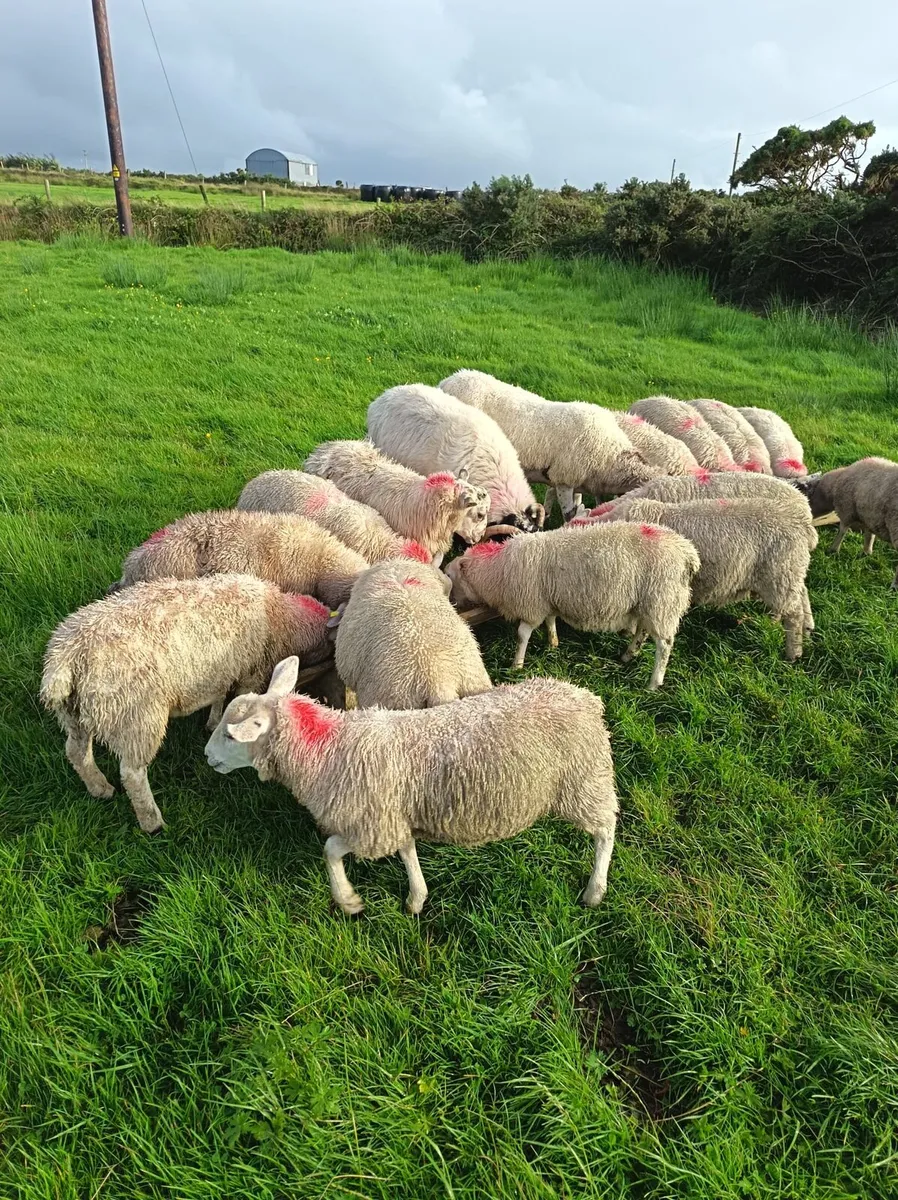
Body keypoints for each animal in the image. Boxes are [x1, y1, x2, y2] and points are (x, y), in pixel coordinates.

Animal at [40, 574, 333, 833]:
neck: (278, 613)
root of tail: (66, 657)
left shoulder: (221, 669)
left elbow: (219, 696)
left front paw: (213, 721)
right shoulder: (250, 671)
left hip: (76, 713)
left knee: (77, 752)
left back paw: (100, 789)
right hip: (135, 716)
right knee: (132, 774)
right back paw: (153, 823)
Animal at [205, 658, 618, 914]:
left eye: (230, 734)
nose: (207, 756)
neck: (327, 749)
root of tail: (586, 697)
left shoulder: (368, 825)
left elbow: (330, 850)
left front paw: (348, 900)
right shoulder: (392, 817)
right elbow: (407, 851)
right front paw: (416, 898)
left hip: (583, 781)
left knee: (607, 829)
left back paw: (595, 891)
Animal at [444, 522, 700, 688]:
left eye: (450, 575)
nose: (452, 603)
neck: (498, 569)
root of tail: (688, 553)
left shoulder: (532, 606)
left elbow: (522, 635)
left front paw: (517, 665)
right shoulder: (547, 600)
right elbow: (551, 621)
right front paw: (553, 643)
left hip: (662, 599)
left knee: (664, 645)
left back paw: (653, 683)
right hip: (650, 602)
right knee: (644, 631)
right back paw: (628, 655)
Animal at [599, 498, 817, 659]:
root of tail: (804, 526)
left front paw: (628, 643)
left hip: (780, 576)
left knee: (794, 615)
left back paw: (793, 652)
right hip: (790, 573)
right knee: (801, 596)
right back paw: (804, 630)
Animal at [802, 457, 898, 586]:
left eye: (809, 499)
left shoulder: (846, 509)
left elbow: (842, 530)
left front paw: (833, 550)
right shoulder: (868, 516)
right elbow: (869, 535)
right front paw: (867, 552)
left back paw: (894, 585)